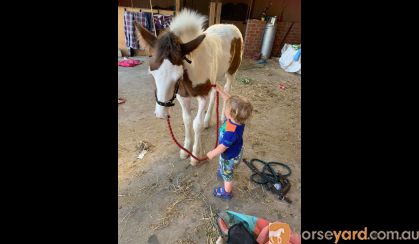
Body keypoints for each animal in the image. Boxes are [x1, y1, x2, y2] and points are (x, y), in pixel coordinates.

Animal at [136, 9, 244, 166]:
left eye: (178, 76)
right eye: (152, 73)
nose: (161, 114)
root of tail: (230, 25)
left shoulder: (202, 96)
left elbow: (196, 123)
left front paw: (195, 155)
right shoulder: (182, 96)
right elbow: (187, 120)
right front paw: (185, 150)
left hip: (231, 71)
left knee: (227, 89)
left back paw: (224, 116)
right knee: (215, 92)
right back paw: (207, 121)